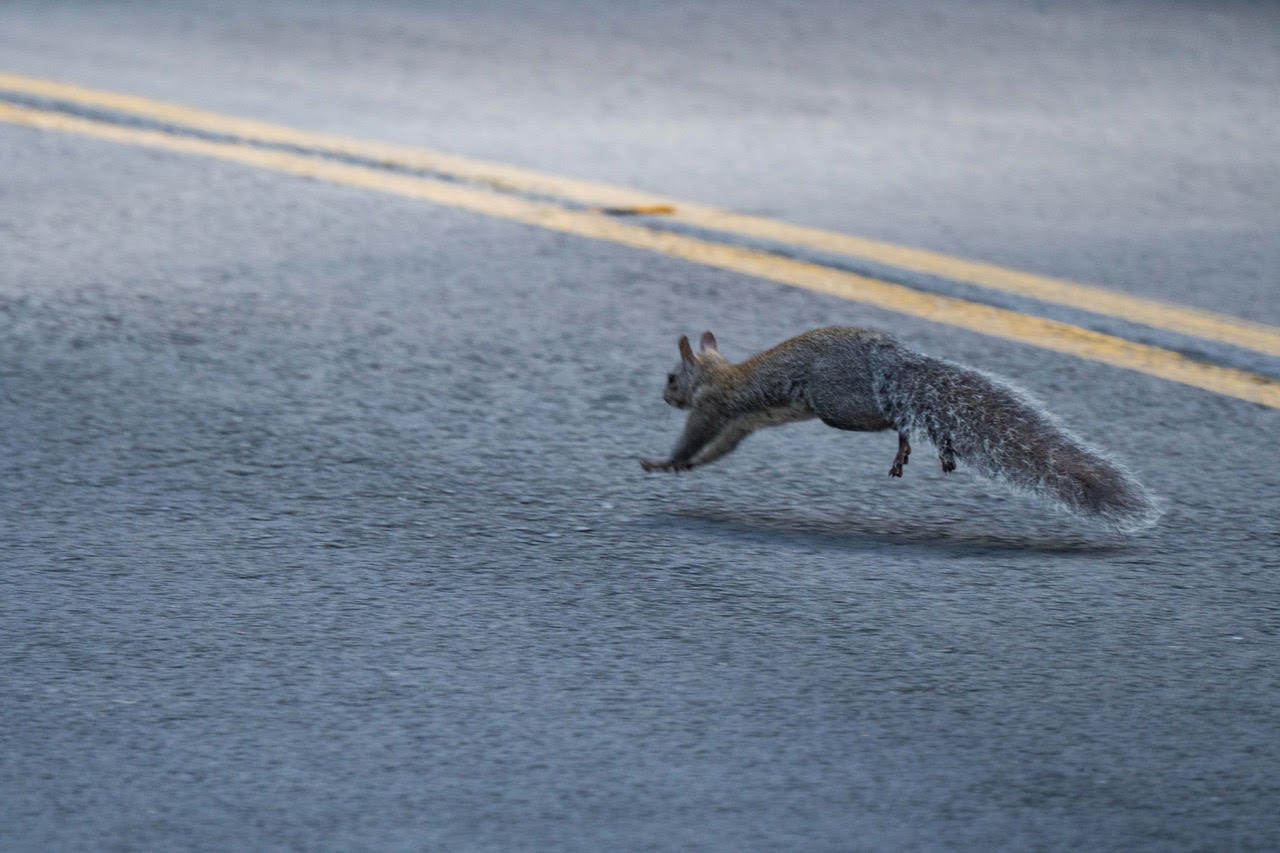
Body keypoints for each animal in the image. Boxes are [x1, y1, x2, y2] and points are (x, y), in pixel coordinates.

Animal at [640, 326, 1162, 532]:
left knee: (898, 416)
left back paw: (911, 445)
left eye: (671, 378)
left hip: (837, 403)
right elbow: (718, 450)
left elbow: (695, 434)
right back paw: (940, 447)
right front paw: (684, 468)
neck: (717, 372)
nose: (663, 396)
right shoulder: (739, 425)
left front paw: (663, 460)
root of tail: (892, 356)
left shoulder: (716, 408)